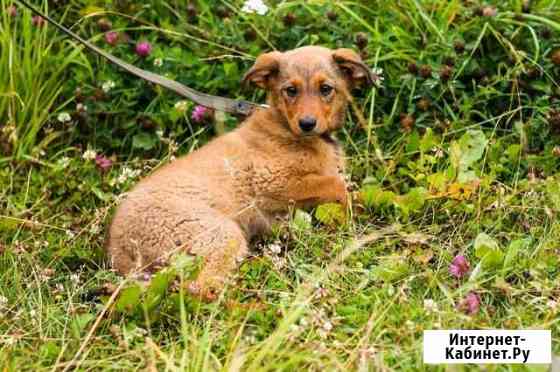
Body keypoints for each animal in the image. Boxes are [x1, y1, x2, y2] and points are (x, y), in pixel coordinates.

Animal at [107, 45, 374, 296]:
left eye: (326, 89)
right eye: (291, 90)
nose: (307, 124)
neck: (285, 127)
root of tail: (117, 249)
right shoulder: (271, 182)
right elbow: (336, 185)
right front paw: (348, 216)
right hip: (220, 234)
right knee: (201, 287)